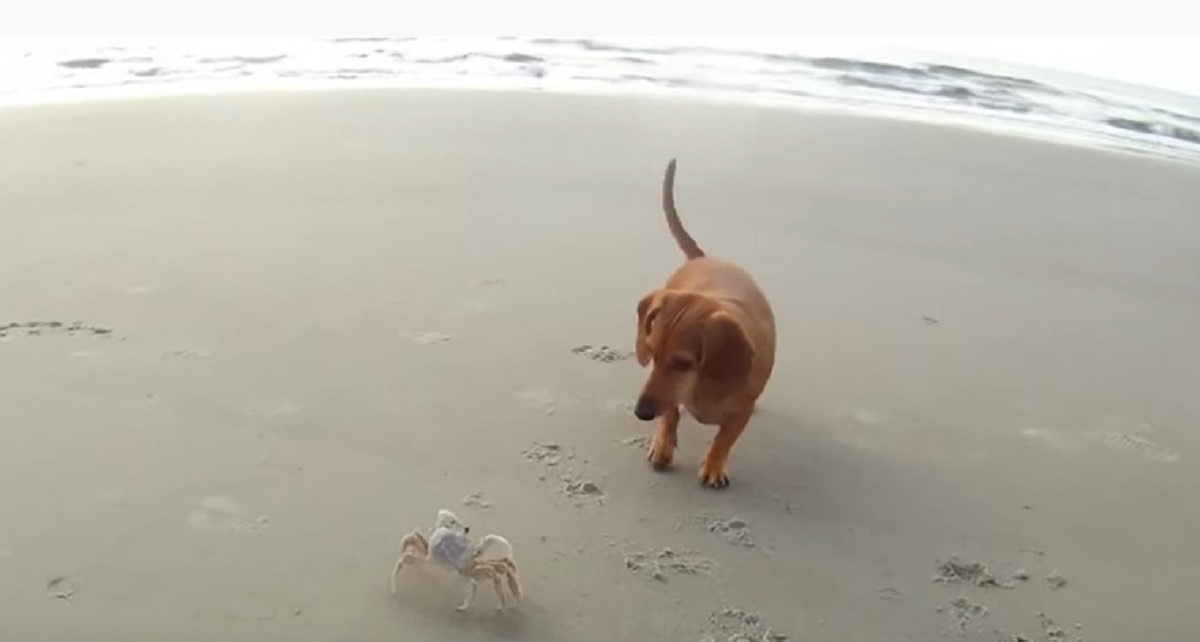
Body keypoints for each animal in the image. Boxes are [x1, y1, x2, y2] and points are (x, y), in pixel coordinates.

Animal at [633, 158, 772, 489]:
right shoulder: (667, 396)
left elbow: (724, 439)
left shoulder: (740, 413)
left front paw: (713, 466)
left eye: (684, 363)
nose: (640, 412)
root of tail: (703, 257)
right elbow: (670, 415)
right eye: (651, 354)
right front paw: (663, 445)